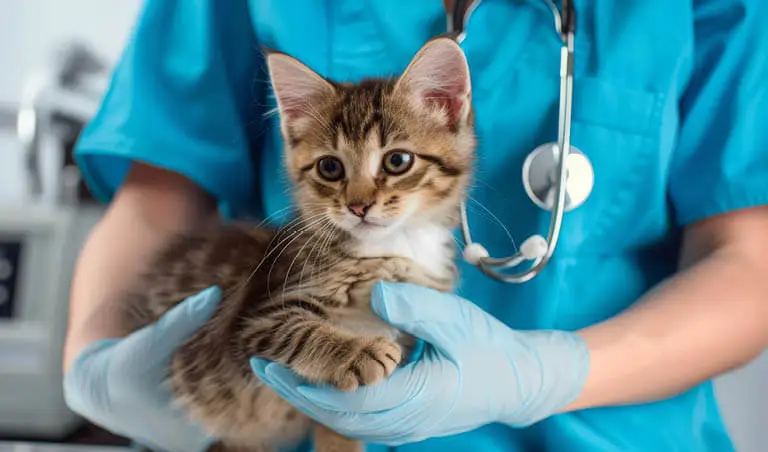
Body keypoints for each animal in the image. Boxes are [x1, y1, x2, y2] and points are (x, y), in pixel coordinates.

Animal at [124, 36, 474, 452]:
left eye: (398, 161)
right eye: (330, 167)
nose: (358, 206)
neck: (391, 248)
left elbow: (345, 421)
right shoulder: (251, 319)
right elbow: (297, 330)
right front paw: (355, 351)